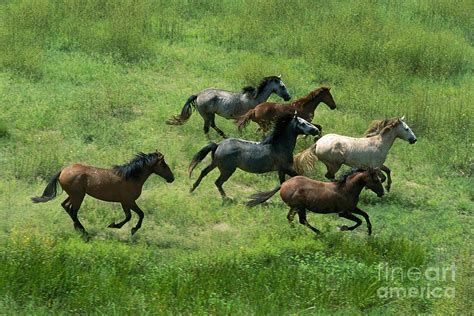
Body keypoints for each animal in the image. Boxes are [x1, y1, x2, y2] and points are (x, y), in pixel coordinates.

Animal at [32, 151, 175, 237]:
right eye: (163, 165)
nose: (171, 178)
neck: (130, 177)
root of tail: (63, 171)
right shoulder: (128, 201)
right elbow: (138, 214)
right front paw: (127, 228)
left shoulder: (125, 202)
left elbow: (130, 216)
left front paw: (117, 226)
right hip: (78, 196)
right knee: (73, 211)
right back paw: (84, 232)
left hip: (74, 195)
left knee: (66, 206)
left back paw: (78, 229)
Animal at [188, 113, 318, 199]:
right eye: (302, 123)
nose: (316, 130)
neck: (279, 146)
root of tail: (218, 145)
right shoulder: (287, 169)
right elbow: (299, 177)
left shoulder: (281, 170)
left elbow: (282, 183)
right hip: (227, 170)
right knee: (218, 182)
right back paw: (227, 199)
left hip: (215, 164)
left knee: (203, 172)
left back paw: (192, 189)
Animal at [248, 169, 386, 236]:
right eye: (376, 180)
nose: (382, 193)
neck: (346, 188)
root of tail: (283, 184)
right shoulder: (343, 212)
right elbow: (359, 221)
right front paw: (343, 228)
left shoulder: (352, 208)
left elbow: (365, 215)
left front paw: (369, 232)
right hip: (299, 207)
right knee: (301, 220)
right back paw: (320, 233)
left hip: (296, 207)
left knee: (292, 218)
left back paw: (295, 230)